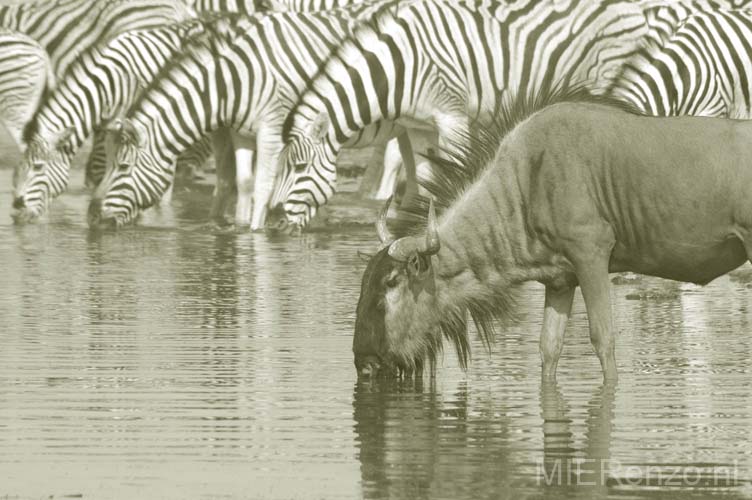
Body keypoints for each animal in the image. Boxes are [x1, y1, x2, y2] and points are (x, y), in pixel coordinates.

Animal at [10, 18, 229, 223]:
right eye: (19, 167)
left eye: (38, 167)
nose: (16, 212)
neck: (111, 83)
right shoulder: (107, 128)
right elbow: (101, 170)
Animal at [86, 6, 400, 229]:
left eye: (123, 167)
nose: (93, 218)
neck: (233, 80)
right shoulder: (241, 132)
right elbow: (243, 182)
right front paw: (235, 226)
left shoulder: (273, 131)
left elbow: (263, 185)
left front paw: (255, 232)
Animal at [266, 0, 736, 230]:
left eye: (300, 167)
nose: (270, 222)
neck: (399, 66)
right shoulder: (418, 128)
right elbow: (420, 181)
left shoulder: (450, 115)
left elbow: (448, 175)